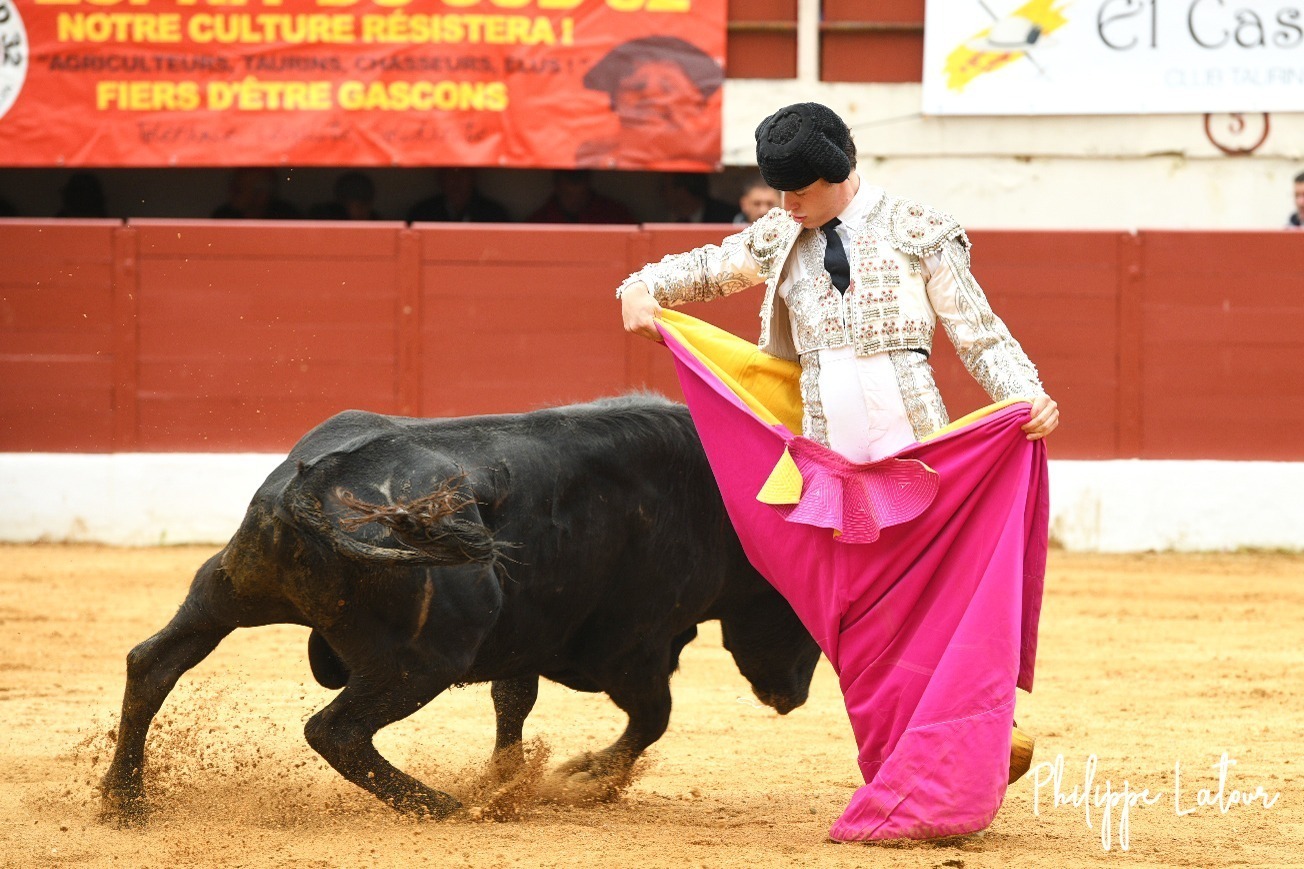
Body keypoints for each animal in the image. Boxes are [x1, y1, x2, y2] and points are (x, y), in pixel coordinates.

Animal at [100, 395, 822, 822]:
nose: (793, 697)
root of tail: (319, 479)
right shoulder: (635, 645)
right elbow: (653, 717)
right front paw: (581, 777)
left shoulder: (528, 633)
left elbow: (514, 703)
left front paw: (508, 777)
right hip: (422, 658)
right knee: (335, 730)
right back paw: (442, 807)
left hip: (228, 588)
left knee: (152, 664)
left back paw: (122, 800)